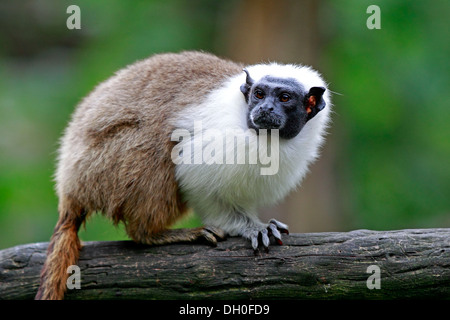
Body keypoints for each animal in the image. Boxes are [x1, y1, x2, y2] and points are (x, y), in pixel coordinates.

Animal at [35, 51, 330, 298]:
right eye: (259, 94)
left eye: (284, 98)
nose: (265, 109)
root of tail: (70, 186)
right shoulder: (221, 138)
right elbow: (195, 175)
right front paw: (249, 227)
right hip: (101, 164)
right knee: (156, 148)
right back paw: (150, 233)